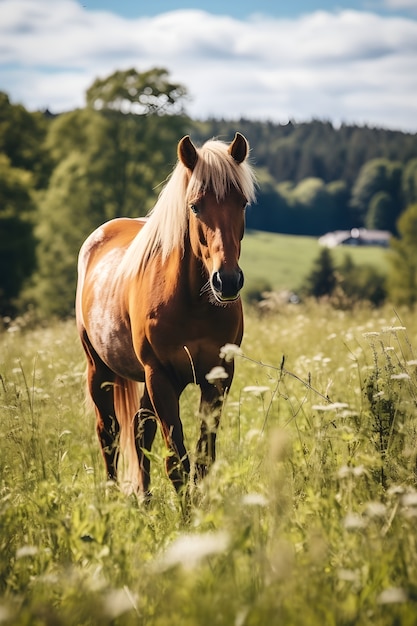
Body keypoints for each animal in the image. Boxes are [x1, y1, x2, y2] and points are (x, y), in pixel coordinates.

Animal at [76, 133, 255, 498]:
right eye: (195, 206)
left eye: (242, 203)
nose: (227, 280)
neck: (192, 302)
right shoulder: (160, 376)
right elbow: (176, 463)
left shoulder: (219, 376)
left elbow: (203, 460)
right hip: (99, 368)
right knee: (109, 432)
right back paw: (112, 498)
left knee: (139, 429)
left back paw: (144, 500)